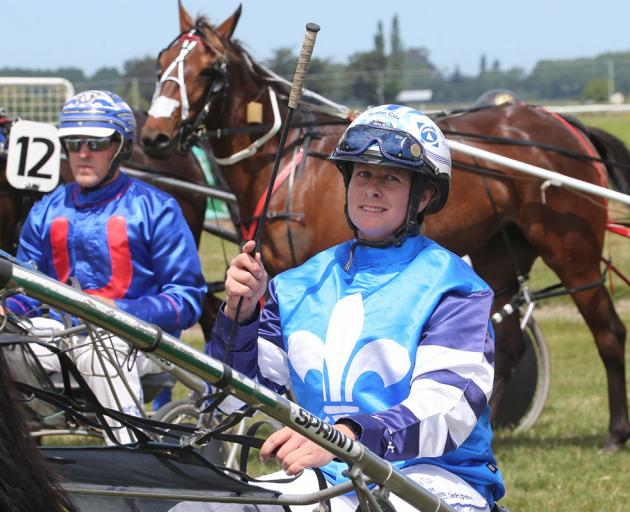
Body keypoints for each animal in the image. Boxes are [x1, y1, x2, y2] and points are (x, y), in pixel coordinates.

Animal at [142, 5, 630, 452]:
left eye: (209, 68)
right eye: (162, 60)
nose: (153, 137)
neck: (286, 164)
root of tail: (565, 124)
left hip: (571, 250)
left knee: (608, 331)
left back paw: (614, 433)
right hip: (502, 251)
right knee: (508, 347)